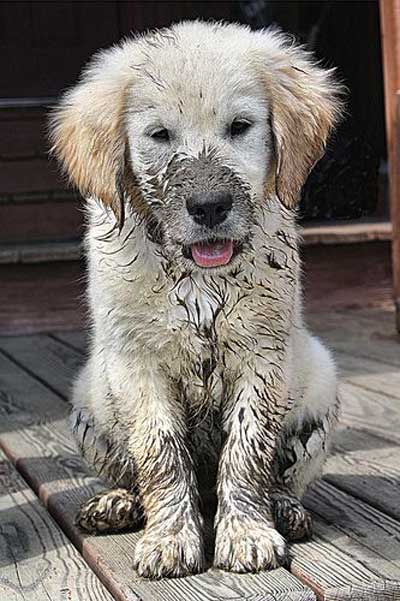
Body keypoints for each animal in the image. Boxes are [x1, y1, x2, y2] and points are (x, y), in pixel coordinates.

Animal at [50, 21, 342, 580]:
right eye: (160, 135)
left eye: (240, 126)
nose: (209, 207)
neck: (197, 278)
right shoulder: (136, 360)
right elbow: (160, 453)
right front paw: (170, 538)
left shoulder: (261, 355)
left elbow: (249, 452)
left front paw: (247, 533)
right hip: (89, 396)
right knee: (128, 471)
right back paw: (118, 503)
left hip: (321, 378)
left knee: (285, 473)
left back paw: (284, 509)